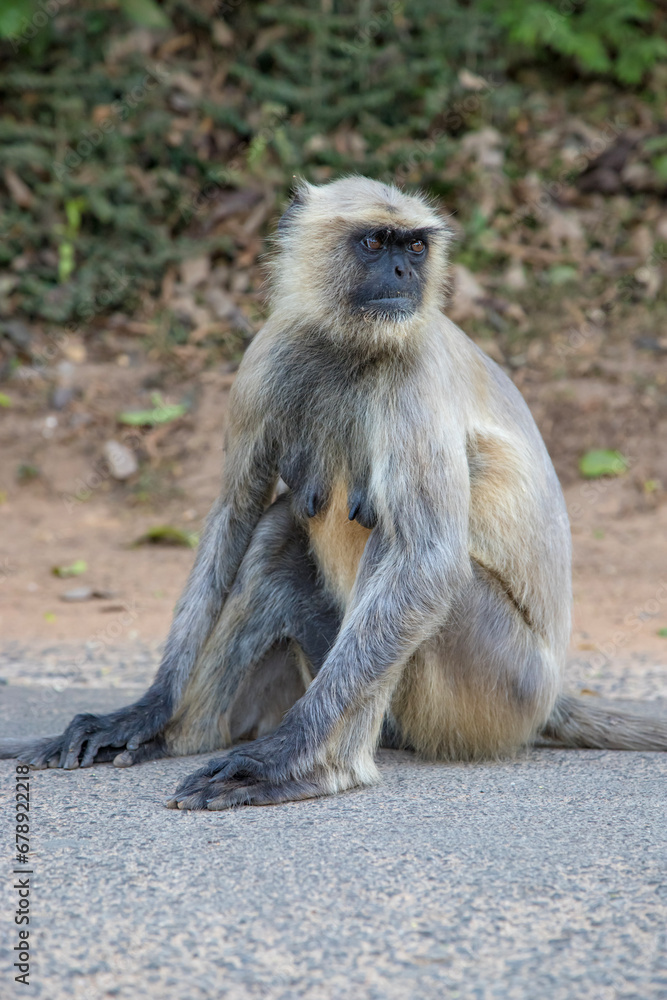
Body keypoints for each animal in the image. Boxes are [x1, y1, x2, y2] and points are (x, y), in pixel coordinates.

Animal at [2, 176, 664, 808]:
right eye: (375, 243)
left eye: (415, 248)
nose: (403, 274)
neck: (350, 345)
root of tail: (549, 698)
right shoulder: (268, 352)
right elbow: (233, 514)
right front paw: (145, 712)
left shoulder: (414, 371)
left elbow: (426, 561)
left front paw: (279, 755)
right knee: (274, 532)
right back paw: (179, 736)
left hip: (501, 690)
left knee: (397, 548)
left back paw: (321, 769)